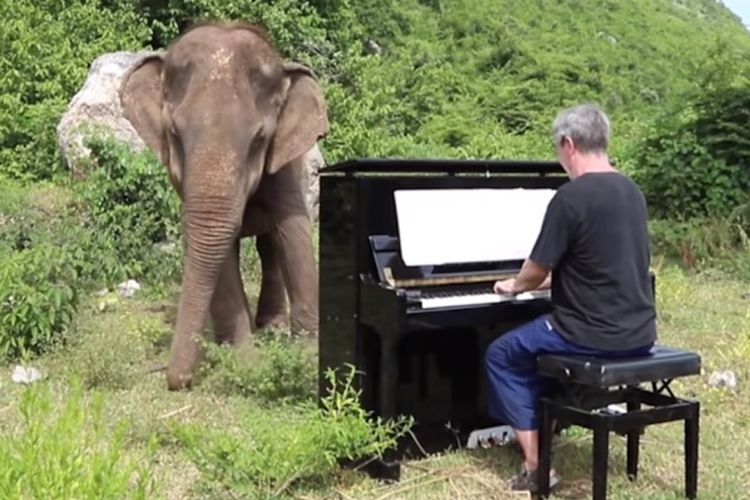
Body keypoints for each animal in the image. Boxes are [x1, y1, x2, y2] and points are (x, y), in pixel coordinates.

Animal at [119, 21, 328, 390]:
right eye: (174, 134)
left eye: (260, 139)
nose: (179, 380)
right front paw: (245, 362)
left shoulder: (286, 163)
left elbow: (293, 231)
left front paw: (306, 358)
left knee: (269, 245)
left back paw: (272, 328)